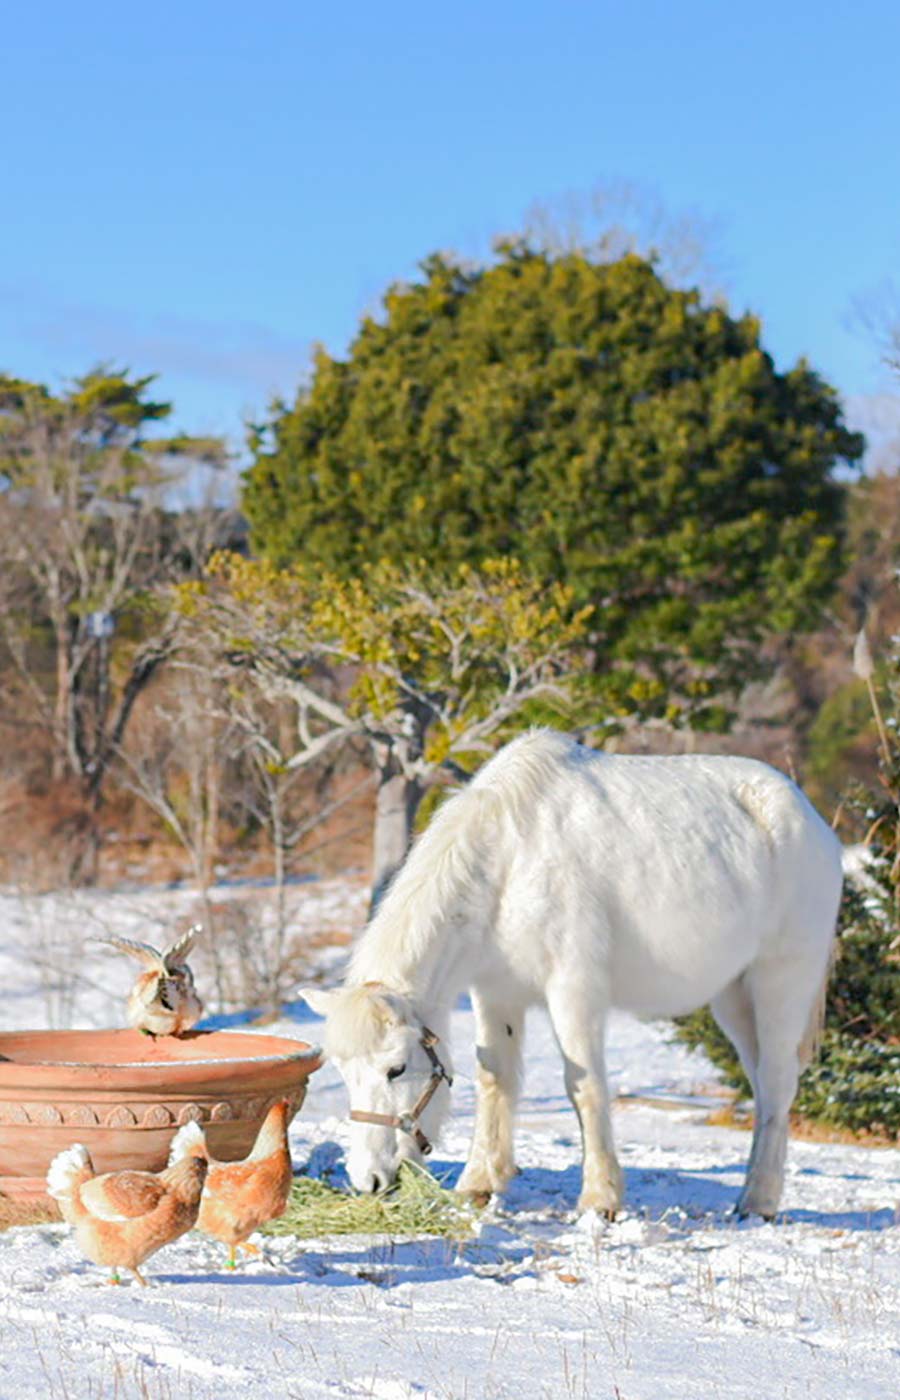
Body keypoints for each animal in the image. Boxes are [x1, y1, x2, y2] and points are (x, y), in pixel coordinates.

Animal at [305, 733, 845, 1215]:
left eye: (395, 1069)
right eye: (342, 1071)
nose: (369, 1180)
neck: (509, 861)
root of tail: (811, 819)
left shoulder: (574, 990)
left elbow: (584, 1088)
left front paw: (601, 1200)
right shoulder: (496, 992)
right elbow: (495, 1079)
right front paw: (479, 1183)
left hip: (779, 984)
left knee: (777, 1082)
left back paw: (759, 1201)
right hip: (733, 998)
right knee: (763, 1086)